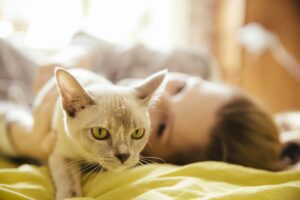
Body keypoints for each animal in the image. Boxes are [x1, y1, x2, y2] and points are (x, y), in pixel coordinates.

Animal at [45, 68, 166, 199]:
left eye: (138, 133)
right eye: (99, 132)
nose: (124, 155)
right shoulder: (61, 153)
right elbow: (68, 181)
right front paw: (72, 196)